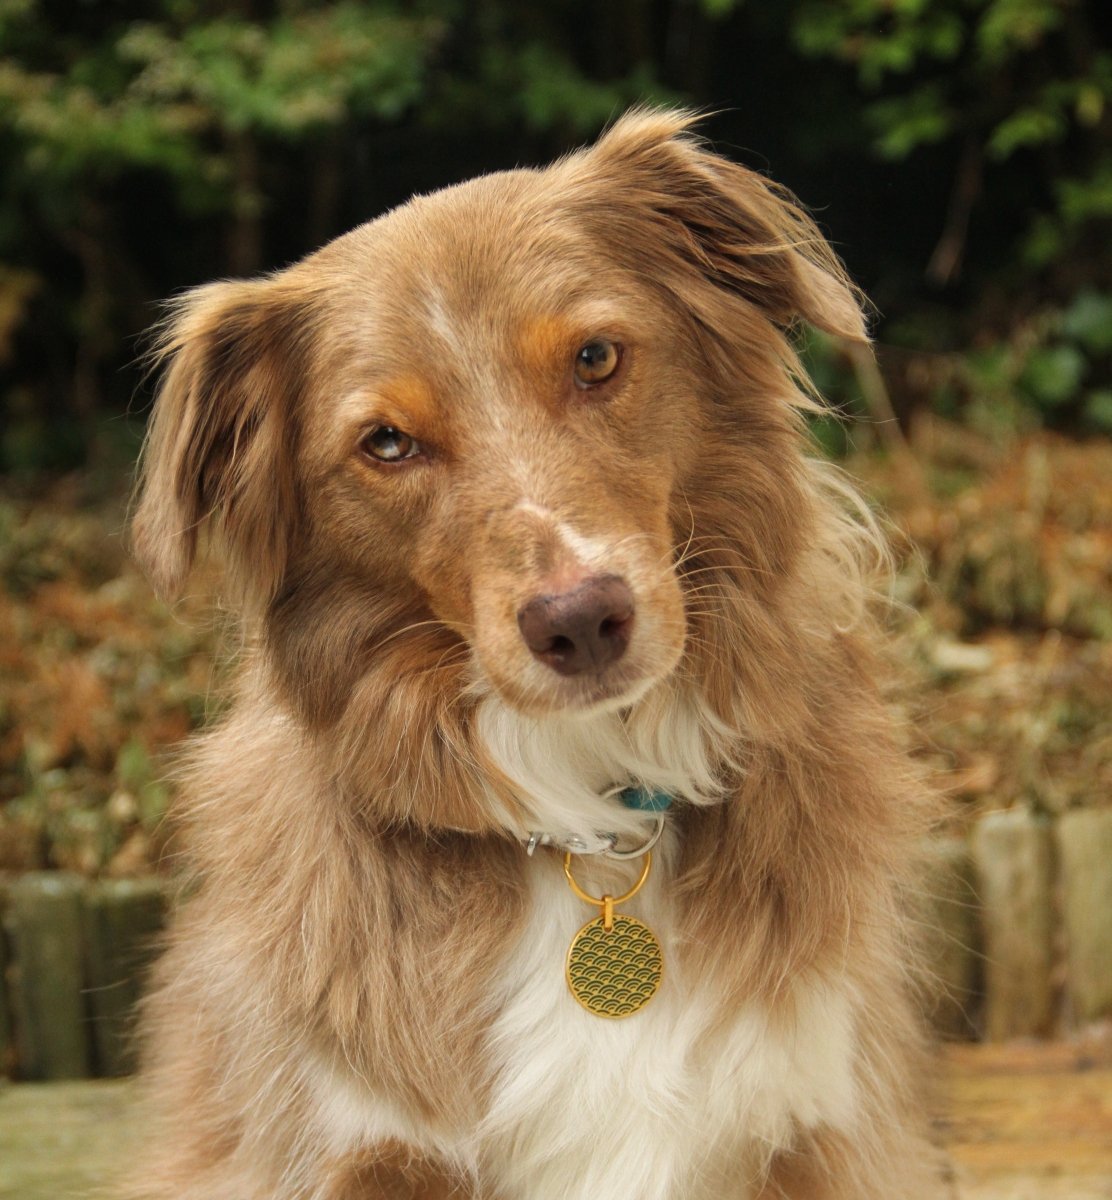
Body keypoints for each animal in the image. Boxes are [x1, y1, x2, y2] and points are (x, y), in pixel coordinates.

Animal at [134, 108, 945, 1195]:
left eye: (596, 358)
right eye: (385, 443)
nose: (580, 620)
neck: (594, 831)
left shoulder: (814, 1125)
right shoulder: (349, 1149)